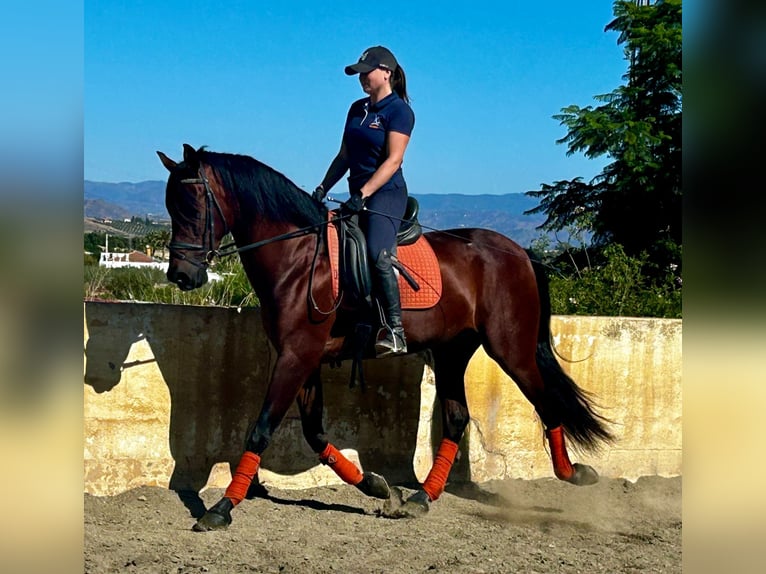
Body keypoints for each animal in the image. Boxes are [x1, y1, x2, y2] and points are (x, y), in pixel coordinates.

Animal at [158, 143, 616, 532]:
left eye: (193, 206)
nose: (181, 276)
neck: (299, 257)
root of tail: (518, 252)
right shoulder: (303, 357)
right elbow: (314, 433)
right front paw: (378, 487)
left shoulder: (296, 355)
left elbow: (261, 428)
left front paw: (221, 508)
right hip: (452, 351)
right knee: (456, 419)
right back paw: (421, 498)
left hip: (511, 349)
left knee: (546, 402)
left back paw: (572, 473)